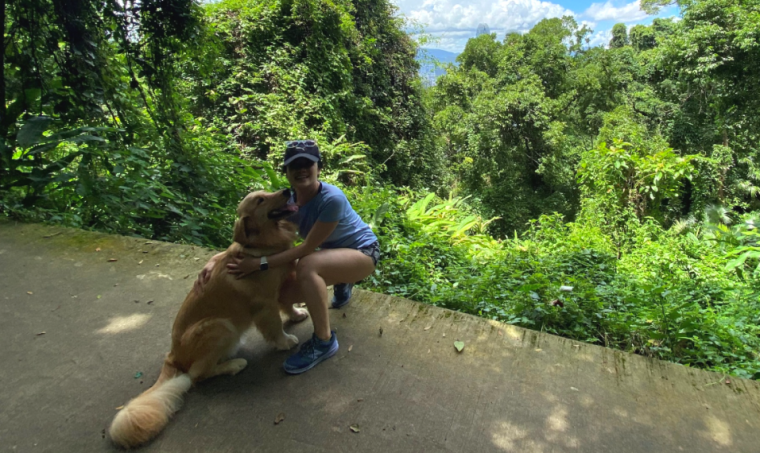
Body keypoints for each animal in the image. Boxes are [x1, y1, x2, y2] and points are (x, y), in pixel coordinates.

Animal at [110, 189, 306, 446]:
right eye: (260, 200)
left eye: (266, 193)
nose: (287, 190)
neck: (264, 245)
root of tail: (172, 355)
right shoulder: (265, 303)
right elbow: (274, 326)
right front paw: (284, 342)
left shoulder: (280, 287)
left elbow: (288, 305)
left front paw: (297, 314)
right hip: (219, 327)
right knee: (197, 375)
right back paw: (234, 365)